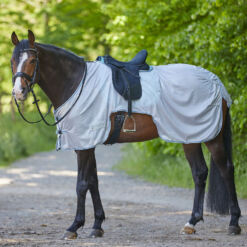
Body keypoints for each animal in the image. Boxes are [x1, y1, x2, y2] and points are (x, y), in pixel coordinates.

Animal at [10, 29, 241, 239]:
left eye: (32, 60)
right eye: (13, 61)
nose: (18, 93)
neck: (76, 83)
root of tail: (216, 82)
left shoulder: (84, 144)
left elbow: (81, 185)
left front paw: (74, 226)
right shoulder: (88, 143)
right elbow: (93, 182)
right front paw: (97, 225)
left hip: (211, 137)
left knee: (226, 169)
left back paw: (233, 223)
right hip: (190, 137)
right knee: (200, 173)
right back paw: (191, 223)